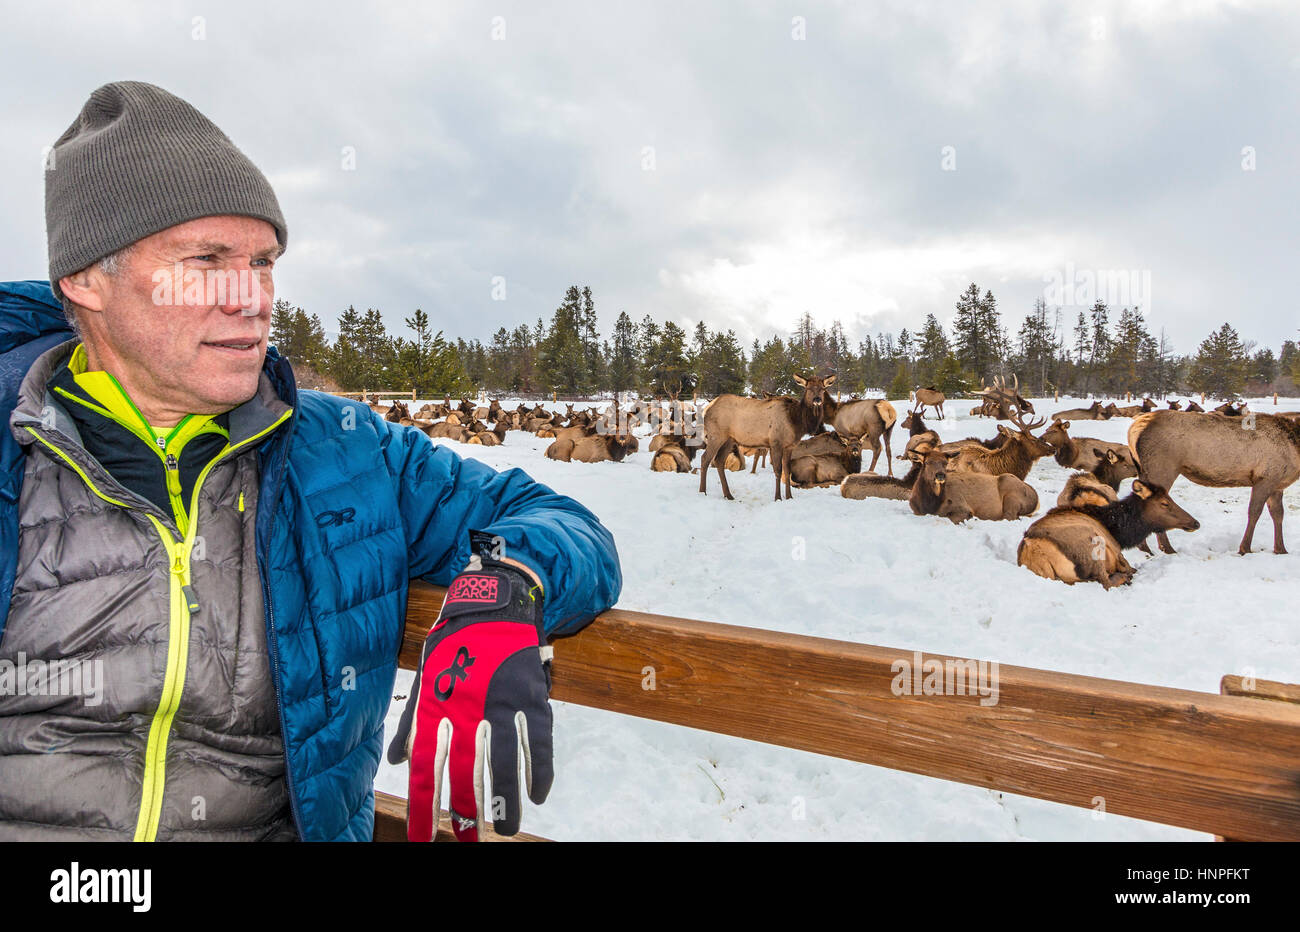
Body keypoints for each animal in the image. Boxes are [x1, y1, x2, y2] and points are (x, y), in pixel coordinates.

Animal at [696, 371, 837, 501]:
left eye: (823, 389)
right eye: (808, 389)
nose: (817, 400)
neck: (796, 422)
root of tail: (707, 408)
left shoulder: (790, 446)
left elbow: (787, 470)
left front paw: (789, 497)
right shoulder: (775, 443)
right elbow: (778, 470)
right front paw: (778, 498)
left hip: (730, 439)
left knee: (719, 460)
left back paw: (728, 495)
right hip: (716, 435)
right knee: (705, 458)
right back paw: (703, 491)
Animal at [1013, 480, 1196, 590]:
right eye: (1165, 503)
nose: (1195, 523)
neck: (1119, 533)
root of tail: (1033, 549)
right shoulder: (1118, 553)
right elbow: (1129, 568)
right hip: (1091, 545)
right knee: (1106, 582)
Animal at [1128, 408, 1300, 553]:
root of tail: (1132, 431)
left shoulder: (1278, 484)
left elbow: (1278, 514)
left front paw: (1281, 549)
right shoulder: (1265, 478)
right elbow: (1255, 512)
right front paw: (1244, 549)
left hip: (1144, 471)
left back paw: (1144, 547)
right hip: (1162, 468)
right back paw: (1167, 548)